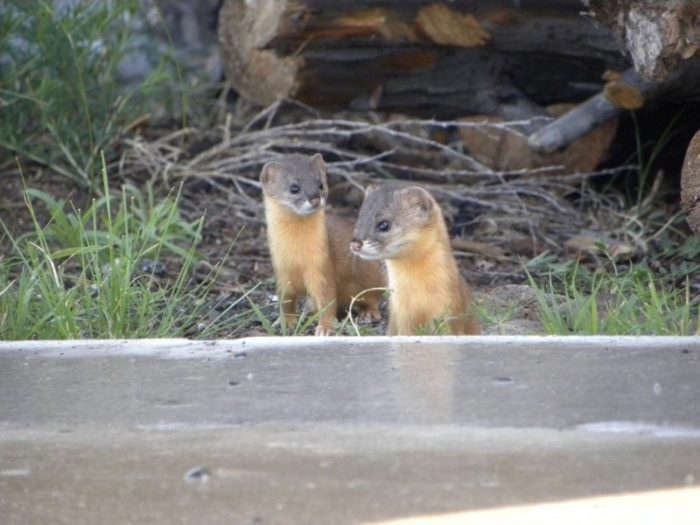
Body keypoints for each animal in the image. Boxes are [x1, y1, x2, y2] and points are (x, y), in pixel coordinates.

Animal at [262, 154, 386, 336]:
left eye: (320, 184)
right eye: (294, 188)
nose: (315, 199)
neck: (297, 256)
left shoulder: (321, 267)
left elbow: (327, 301)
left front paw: (325, 328)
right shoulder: (282, 271)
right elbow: (286, 301)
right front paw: (285, 321)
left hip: (372, 275)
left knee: (373, 296)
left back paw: (369, 313)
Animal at [350, 184, 482, 336]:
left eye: (384, 224)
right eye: (358, 222)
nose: (355, 244)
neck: (419, 303)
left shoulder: (451, 312)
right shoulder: (400, 318)